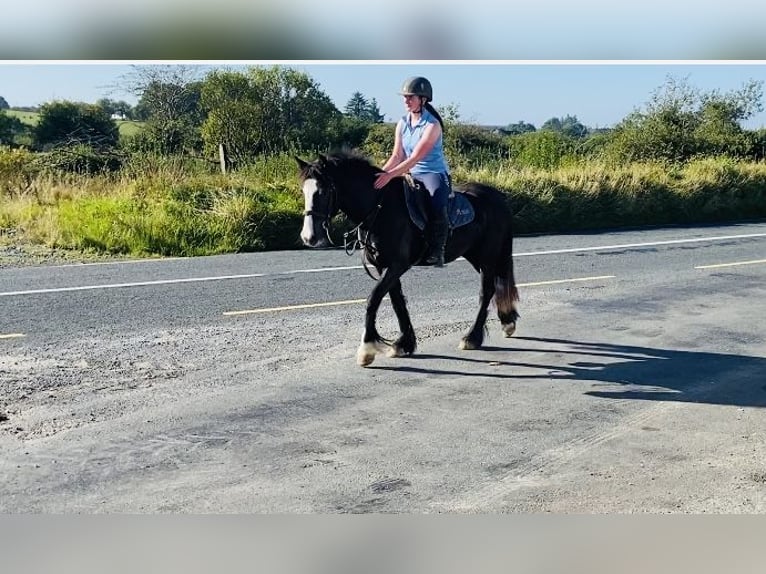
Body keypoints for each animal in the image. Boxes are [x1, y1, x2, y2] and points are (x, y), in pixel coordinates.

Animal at [296, 152, 520, 368]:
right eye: (303, 191)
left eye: (323, 191)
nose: (309, 237)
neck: (381, 209)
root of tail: (497, 198)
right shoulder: (384, 266)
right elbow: (397, 301)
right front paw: (403, 344)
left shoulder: (397, 265)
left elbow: (373, 299)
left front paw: (367, 349)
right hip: (476, 256)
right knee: (496, 285)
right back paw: (507, 321)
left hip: (487, 257)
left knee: (487, 291)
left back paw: (472, 337)